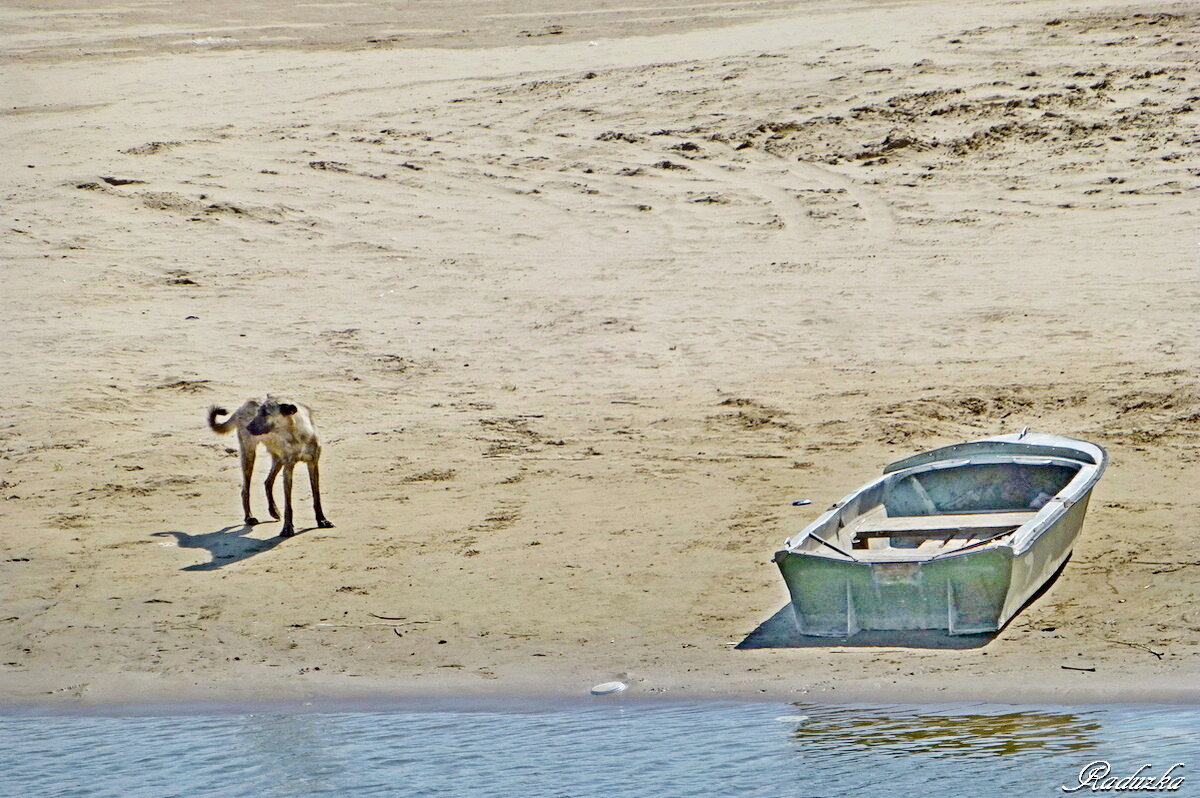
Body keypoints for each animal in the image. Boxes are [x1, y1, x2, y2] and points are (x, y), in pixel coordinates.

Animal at [207, 396, 333, 537]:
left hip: (277, 460)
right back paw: (249, 517)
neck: (298, 434)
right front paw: (287, 528)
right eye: (258, 412)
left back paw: (273, 511)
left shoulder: (313, 464)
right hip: (249, 455)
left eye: (266, 413)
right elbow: (288, 505)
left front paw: (322, 520)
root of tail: (243, 406)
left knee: (267, 482)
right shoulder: (288, 467)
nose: (247, 427)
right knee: (245, 490)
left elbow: (317, 497)